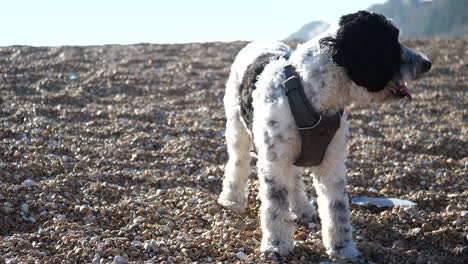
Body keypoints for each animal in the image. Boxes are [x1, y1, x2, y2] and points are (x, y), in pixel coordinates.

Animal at [218, 10, 432, 262]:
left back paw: (301, 208)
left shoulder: (332, 163)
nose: (427, 64)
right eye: (389, 42)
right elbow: (274, 207)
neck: (312, 93)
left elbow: (337, 209)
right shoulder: (274, 162)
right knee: (237, 162)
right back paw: (232, 199)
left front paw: (343, 249)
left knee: (295, 177)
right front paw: (276, 245)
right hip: (237, 128)